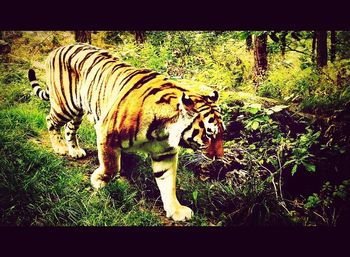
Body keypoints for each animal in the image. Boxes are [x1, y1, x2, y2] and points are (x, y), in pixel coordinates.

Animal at [27, 42, 224, 220]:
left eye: (222, 133)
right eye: (208, 134)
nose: (219, 158)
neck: (163, 131)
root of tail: (57, 49)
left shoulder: (165, 153)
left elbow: (168, 182)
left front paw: (176, 210)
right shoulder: (106, 134)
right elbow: (112, 166)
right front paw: (99, 181)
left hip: (78, 110)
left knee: (69, 128)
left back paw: (75, 150)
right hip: (65, 105)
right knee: (50, 120)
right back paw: (59, 147)